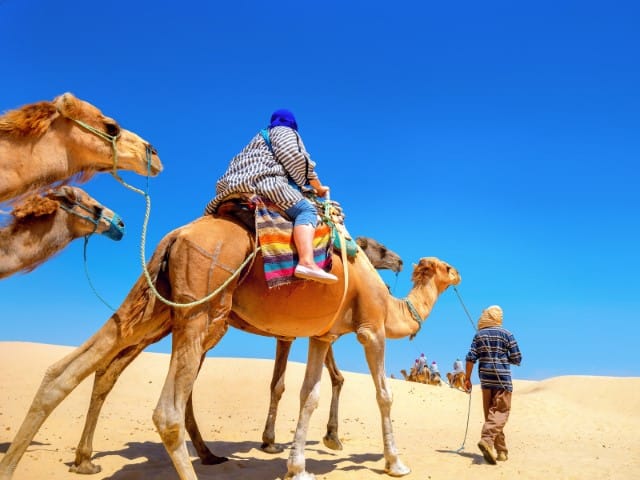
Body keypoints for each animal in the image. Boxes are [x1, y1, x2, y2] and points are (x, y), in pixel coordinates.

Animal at [0, 214, 460, 480]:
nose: (401, 261)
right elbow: (381, 395)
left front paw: (299, 466)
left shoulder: (321, 335)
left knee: (74, 368)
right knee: (164, 404)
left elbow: (308, 394)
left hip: (155, 305)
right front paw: (394, 463)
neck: (388, 301)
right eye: (448, 267)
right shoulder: (368, 330)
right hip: (200, 306)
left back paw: (62, 461)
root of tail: (175, 236)